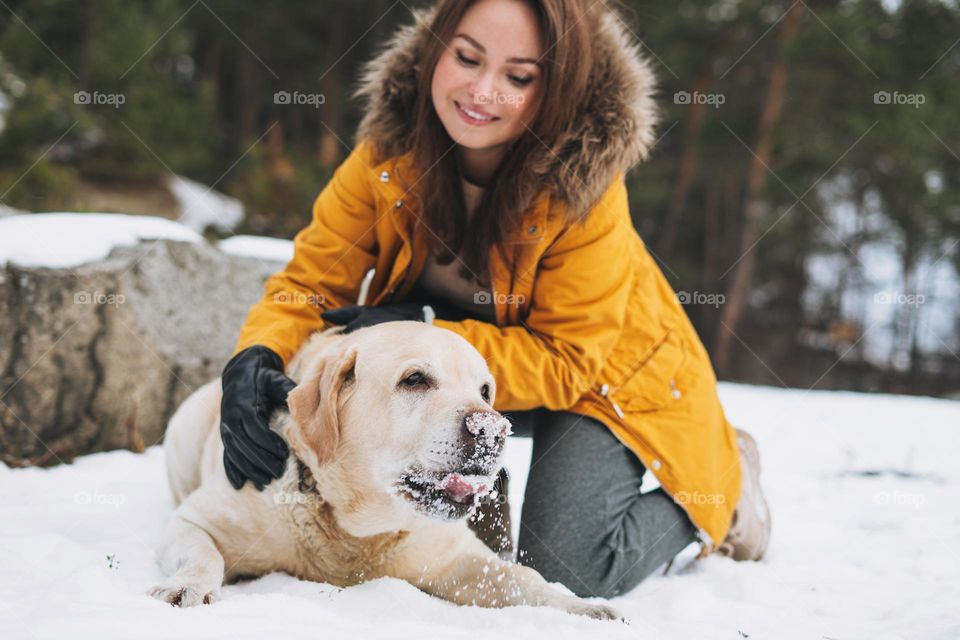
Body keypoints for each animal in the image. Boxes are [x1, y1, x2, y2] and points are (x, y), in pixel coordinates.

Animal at [146, 322, 620, 624]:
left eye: (485, 390)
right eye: (415, 379)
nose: (493, 430)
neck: (356, 533)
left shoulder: (453, 556)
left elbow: (521, 577)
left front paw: (582, 608)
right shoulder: (197, 519)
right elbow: (203, 553)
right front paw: (187, 588)